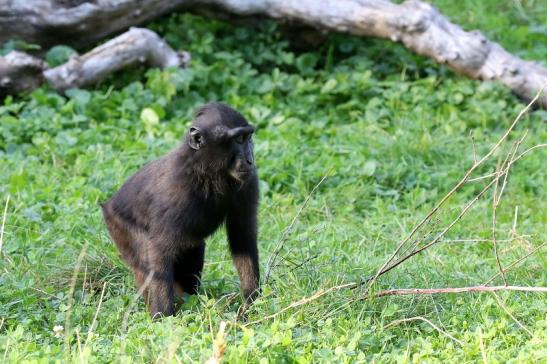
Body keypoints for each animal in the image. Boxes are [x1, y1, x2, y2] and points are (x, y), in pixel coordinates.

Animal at [103, 101, 262, 316]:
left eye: (248, 137)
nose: (250, 159)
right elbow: (159, 249)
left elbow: (242, 237)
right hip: (118, 226)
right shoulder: (176, 189)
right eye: (238, 139)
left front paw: (252, 306)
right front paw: (163, 318)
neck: (208, 171)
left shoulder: (248, 181)